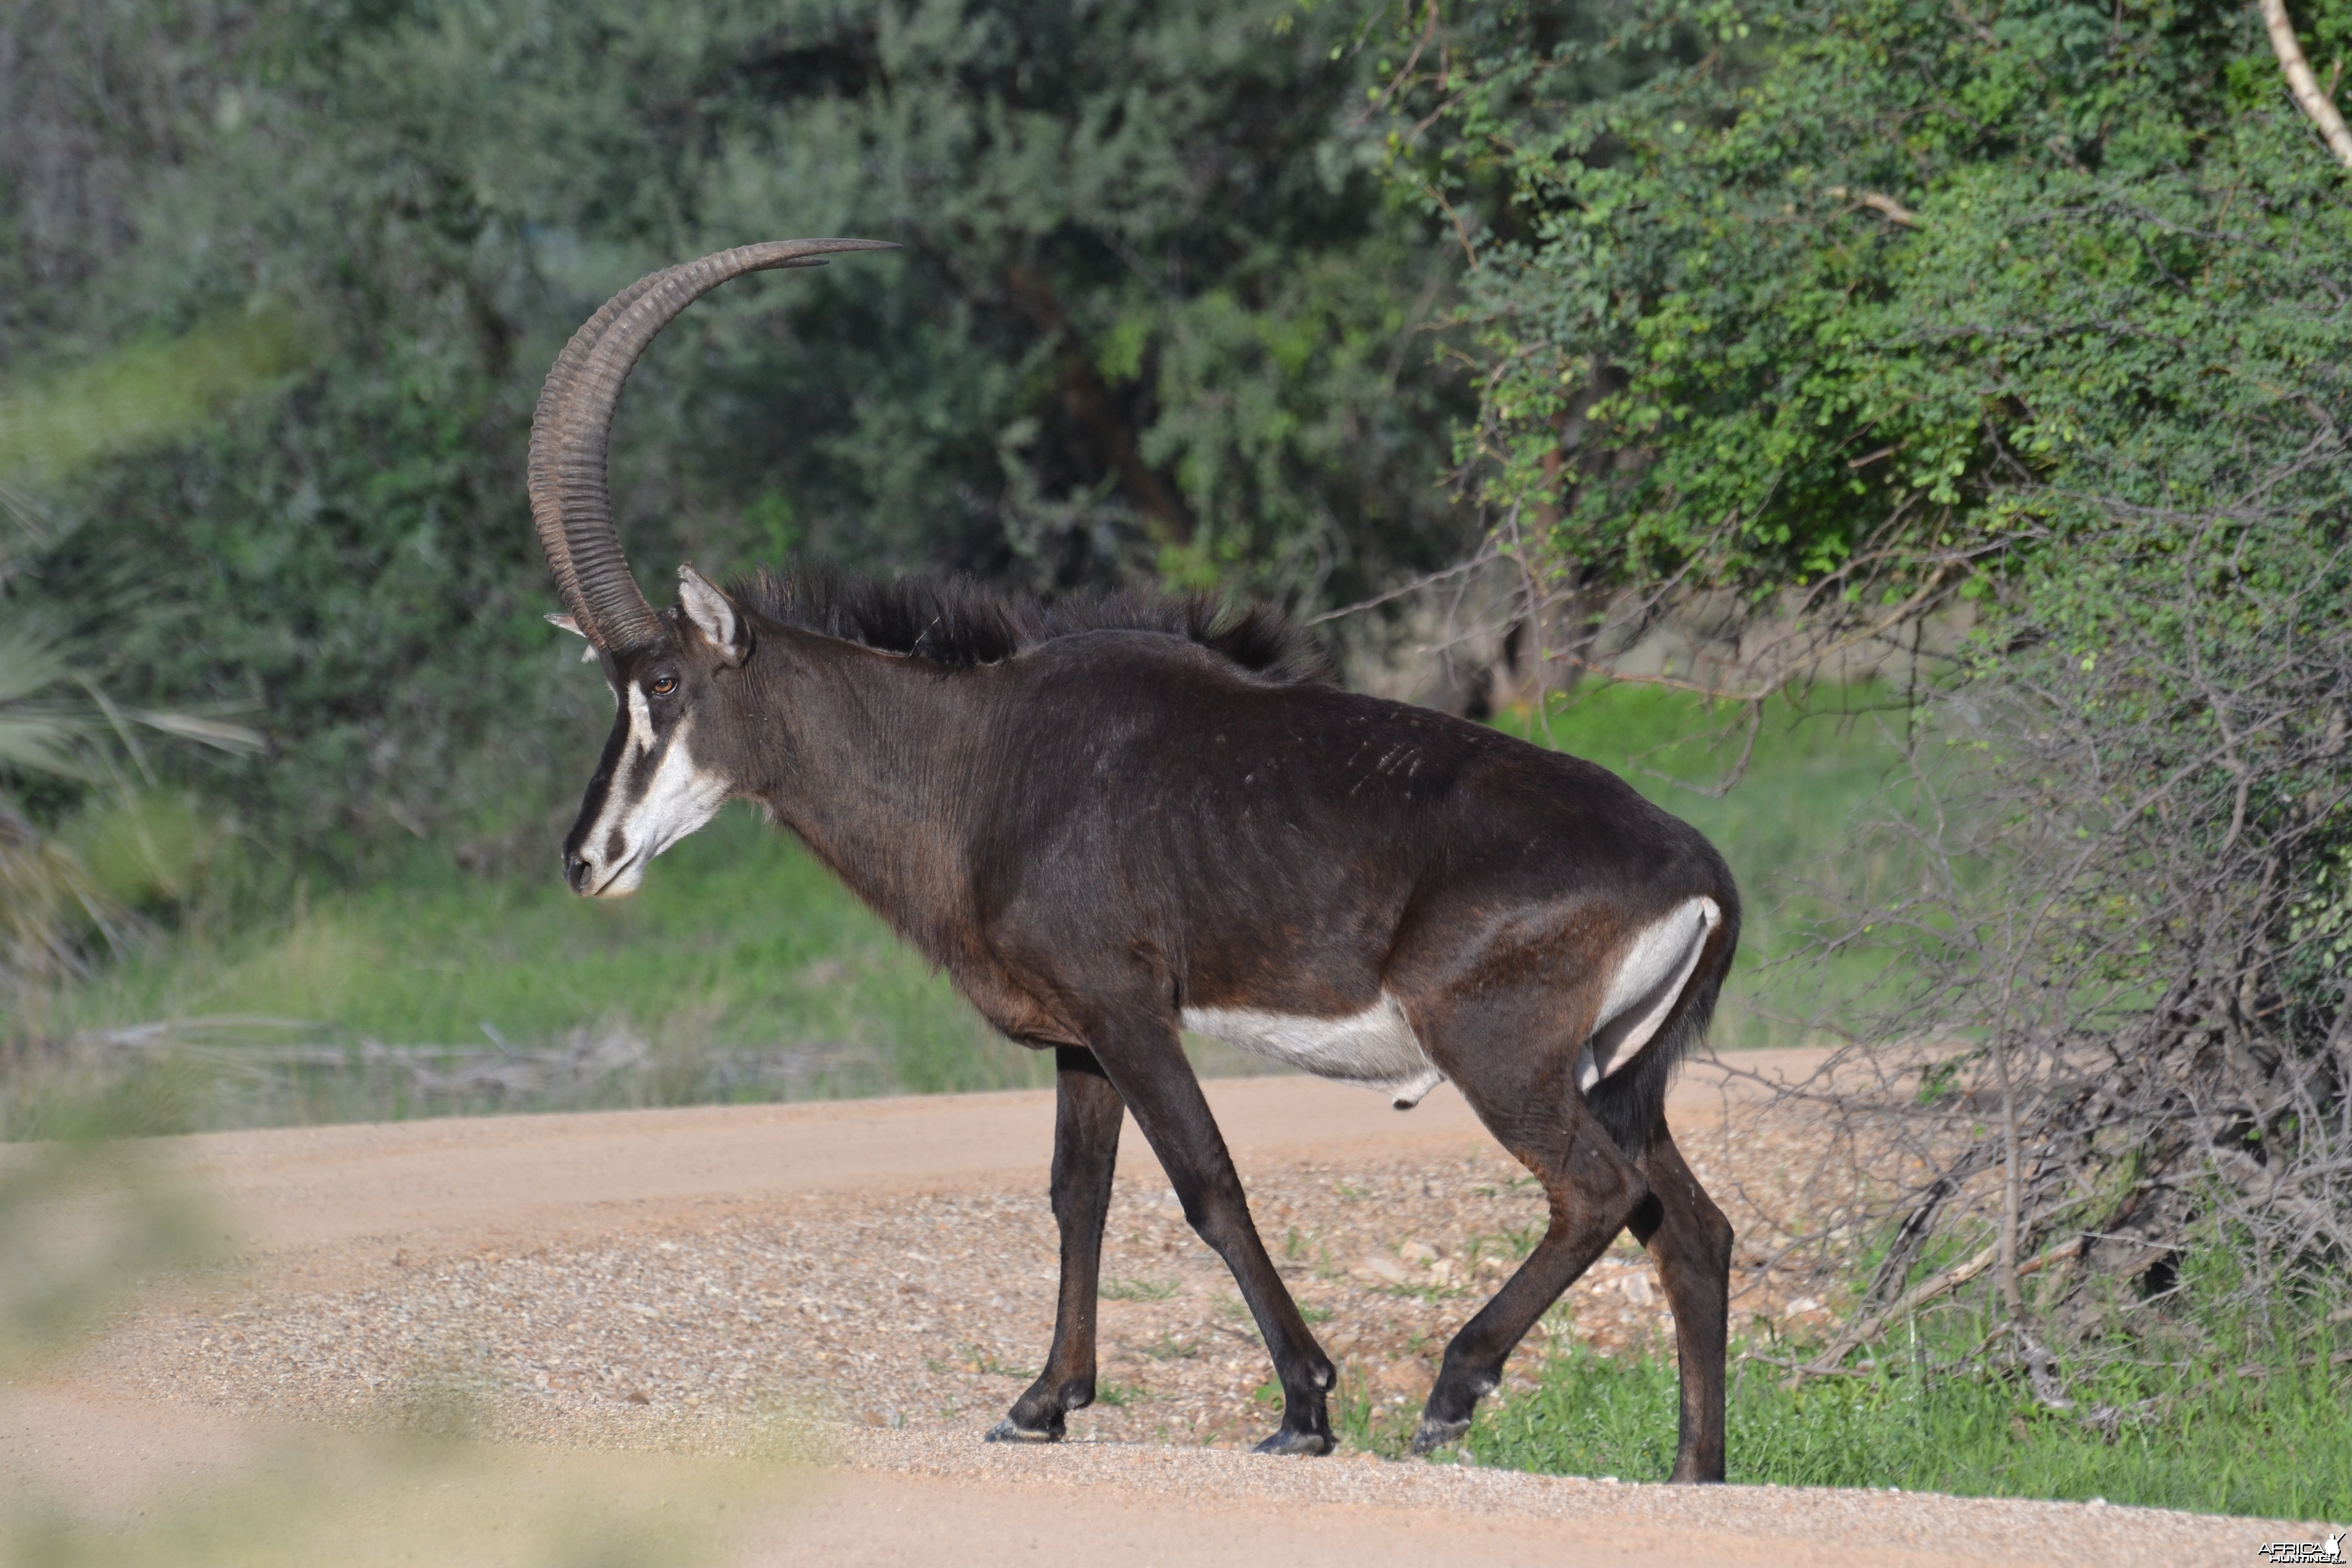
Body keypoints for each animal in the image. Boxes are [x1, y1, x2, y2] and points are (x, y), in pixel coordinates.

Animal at [538, 239, 1750, 1476]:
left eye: (665, 682)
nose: (586, 862)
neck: (979, 755)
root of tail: (1700, 871)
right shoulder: (1081, 1034)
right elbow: (1079, 1194)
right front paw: (1043, 1400)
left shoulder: (1128, 1010)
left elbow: (1206, 1182)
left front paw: (1303, 1407)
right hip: (1611, 1077)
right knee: (1690, 1230)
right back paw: (1694, 1476)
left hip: (1500, 1058)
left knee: (1598, 1195)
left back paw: (1456, 1385)